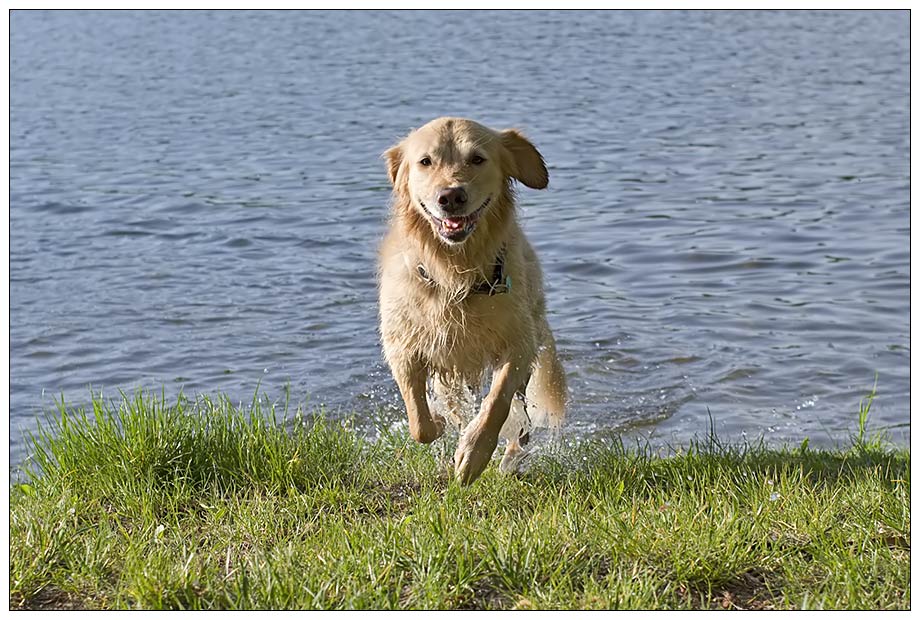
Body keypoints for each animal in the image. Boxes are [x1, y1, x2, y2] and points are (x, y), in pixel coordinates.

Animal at [376, 117, 564, 484]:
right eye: (426, 161)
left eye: (477, 159)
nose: (451, 196)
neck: (455, 273)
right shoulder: (402, 344)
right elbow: (419, 420)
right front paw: (438, 422)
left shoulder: (518, 343)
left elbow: (497, 401)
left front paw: (473, 453)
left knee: (520, 413)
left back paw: (512, 452)